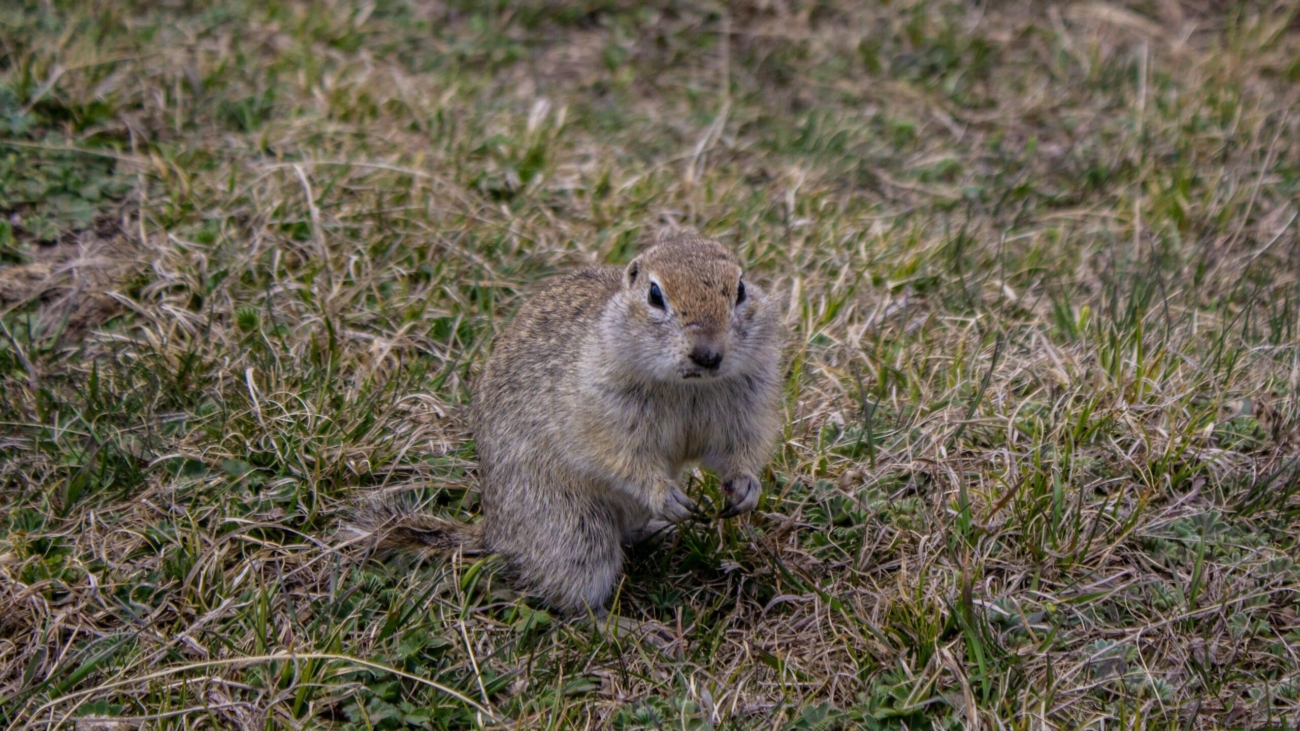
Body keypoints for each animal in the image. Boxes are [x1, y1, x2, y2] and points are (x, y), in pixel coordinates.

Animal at [358, 234, 780, 613]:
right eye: (655, 295)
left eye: (741, 289)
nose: (708, 354)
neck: (688, 386)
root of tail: (495, 535)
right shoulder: (605, 417)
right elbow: (626, 461)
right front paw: (666, 496)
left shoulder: (746, 405)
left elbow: (737, 449)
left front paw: (746, 487)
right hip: (573, 531)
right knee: (572, 600)